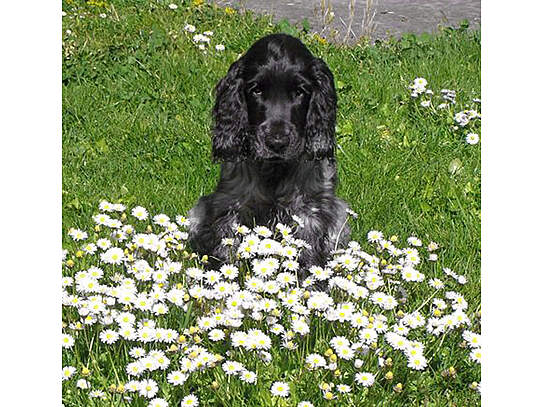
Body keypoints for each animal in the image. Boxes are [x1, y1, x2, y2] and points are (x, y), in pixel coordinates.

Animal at [188, 33, 350, 270]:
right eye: (256, 90)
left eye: (299, 92)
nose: (277, 142)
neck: (274, 170)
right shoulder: (232, 204)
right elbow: (227, 250)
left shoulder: (309, 210)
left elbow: (306, 255)